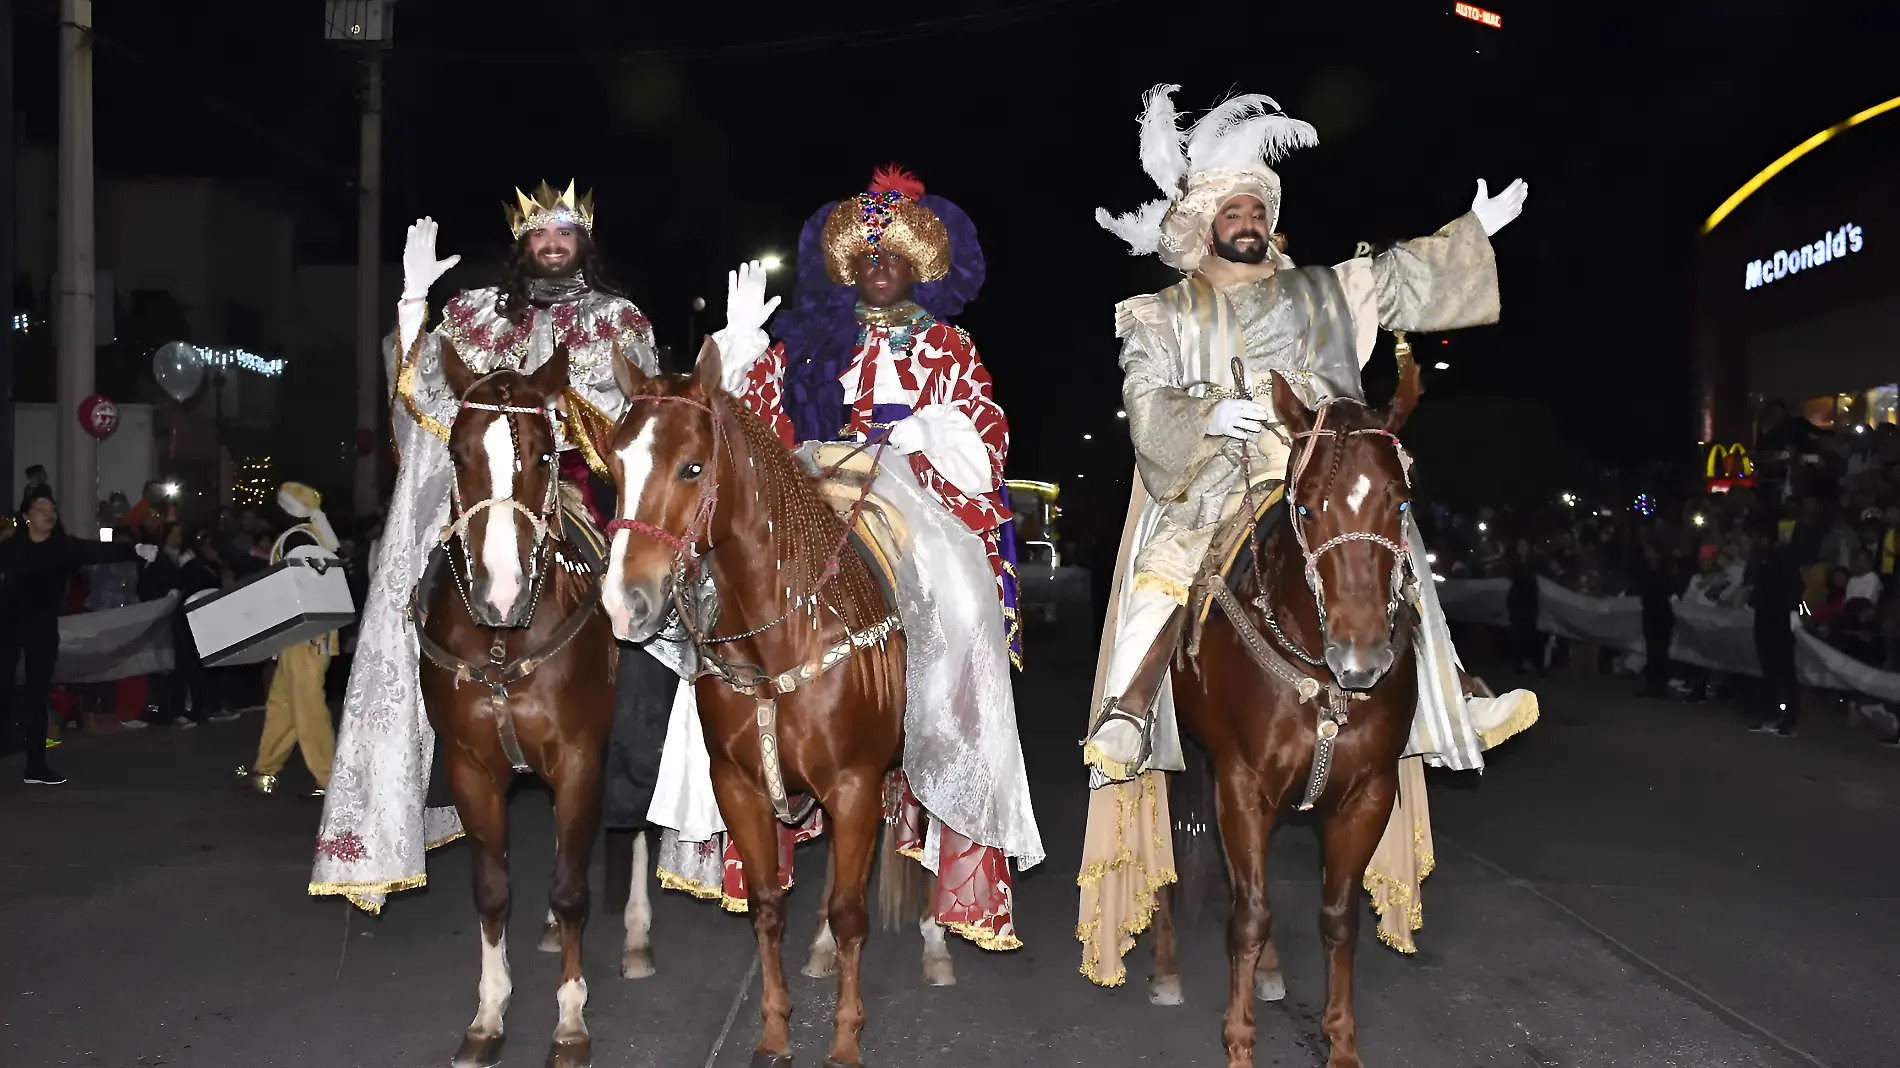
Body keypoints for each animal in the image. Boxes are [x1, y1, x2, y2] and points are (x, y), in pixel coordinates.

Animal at [419, 340, 619, 1064]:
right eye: (457, 455)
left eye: (542, 454)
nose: (499, 595)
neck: (505, 644)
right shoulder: (471, 768)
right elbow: (492, 890)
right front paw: (489, 1013)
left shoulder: (581, 762)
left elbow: (571, 888)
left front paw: (571, 1019)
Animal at [604, 342, 908, 1064]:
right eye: (613, 460)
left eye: (692, 465)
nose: (624, 604)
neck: (781, 642)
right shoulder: (738, 785)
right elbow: (769, 905)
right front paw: (774, 1031)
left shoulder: (856, 785)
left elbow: (850, 912)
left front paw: (844, 1041)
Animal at [1140, 368, 1428, 1064]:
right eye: (1306, 508)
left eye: (1401, 504)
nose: (1361, 657)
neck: (1320, 679)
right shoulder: (1242, 785)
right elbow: (1248, 915)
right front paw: (1239, 1043)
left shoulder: (1367, 794)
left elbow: (1339, 919)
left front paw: (1341, 1042)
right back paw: (1166, 968)